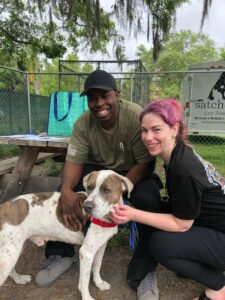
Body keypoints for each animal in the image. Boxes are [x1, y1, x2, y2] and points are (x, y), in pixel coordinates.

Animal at [0, 170, 133, 300]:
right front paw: (87, 297)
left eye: (107, 190)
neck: (106, 218)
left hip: (15, 250)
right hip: (9, 256)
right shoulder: (86, 253)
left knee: (12, 269)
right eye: (89, 187)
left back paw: (19, 279)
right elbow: (84, 281)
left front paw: (99, 283)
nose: (86, 206)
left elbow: (97, 266)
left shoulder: (101, 246)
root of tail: (3, 206)